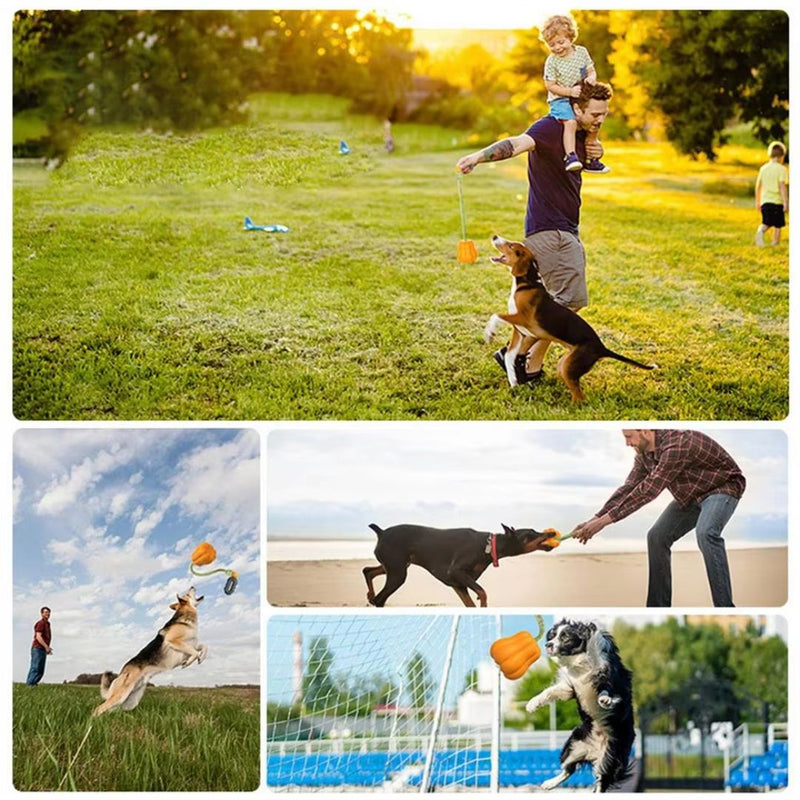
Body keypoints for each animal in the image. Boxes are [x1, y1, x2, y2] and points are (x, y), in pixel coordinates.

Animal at [362, 524, 556, 608]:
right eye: (531, 533)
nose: (552, 533)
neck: (488, 546)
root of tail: (381, 532)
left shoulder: (459, 584)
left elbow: (471, 602)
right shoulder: (456, 573)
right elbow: (482, 592)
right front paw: (483, 604)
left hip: (397, 566)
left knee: (368, 571)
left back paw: (370, 595)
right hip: (398, 573)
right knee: (380, 598)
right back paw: (374, 599)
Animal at [528, 620, 636, 792]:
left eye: (565, 637)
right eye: (552, 636)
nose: (548, 644)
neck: (580, 661)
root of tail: (594, 752)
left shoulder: (609, 675)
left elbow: (607, 689)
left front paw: (605, 700)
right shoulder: (569, 687)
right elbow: (549, 691)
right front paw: (532, 703)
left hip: (610, 759)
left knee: (601, 782)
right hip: (572, 745)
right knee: (568, 769)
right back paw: (549, 783)